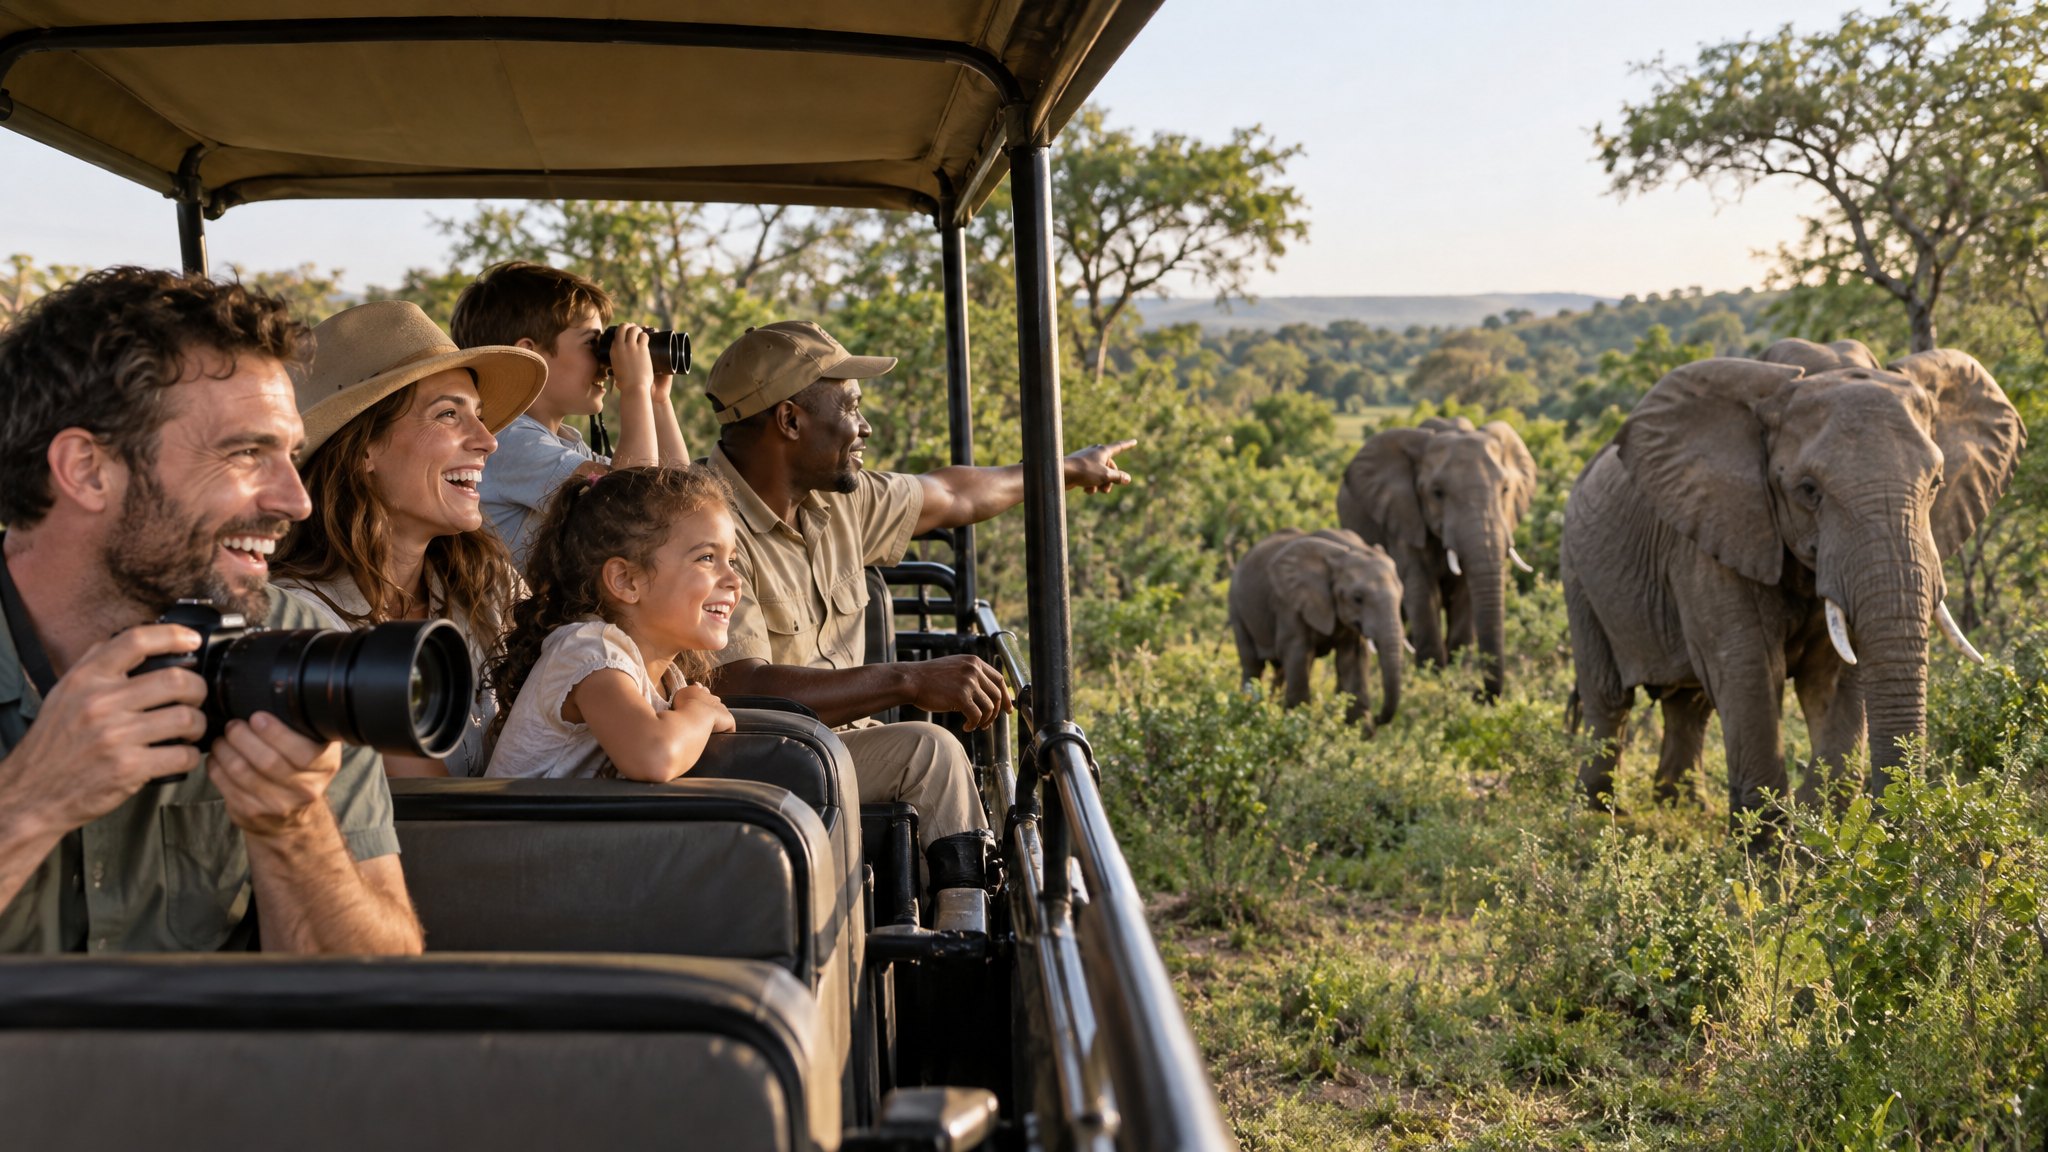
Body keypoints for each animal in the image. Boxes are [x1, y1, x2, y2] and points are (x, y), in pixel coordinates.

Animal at [1229, 528, 1406, 730]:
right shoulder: (1289, 603)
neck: (1347, 551)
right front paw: (1299, 725)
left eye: (1402, 594)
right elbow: (1297, 653)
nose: (1378, 718)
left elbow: (1353, 658)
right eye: (1357, 598)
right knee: (1252, 665)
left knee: (1280, 669)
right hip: (1236, 607)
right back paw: (1248, 711)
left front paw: (1359, 732)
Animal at [1337, 417, 1538, 700]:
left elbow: (1465, 595)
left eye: (1505, 489)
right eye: (1437, 493)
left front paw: (1455, 679)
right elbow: (1421, 591)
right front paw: (1433, 684)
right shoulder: (1404, 517)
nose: (1477, 693)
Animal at [1562, 339, 2025, 815]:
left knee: (1688, 704)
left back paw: (1684, 807)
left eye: (1936, 483)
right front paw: (1776, 830)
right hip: (1576, 570)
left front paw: (1817, 816)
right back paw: (1597, 816)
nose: (1897, 812)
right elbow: (1748, 669)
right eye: (1808, 490)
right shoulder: (1713, 534)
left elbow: (1837, 676)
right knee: (1609, 699)